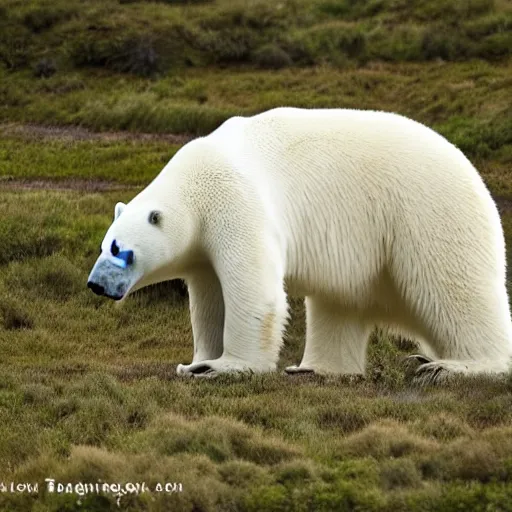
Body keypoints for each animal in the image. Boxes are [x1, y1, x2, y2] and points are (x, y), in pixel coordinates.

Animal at [87, 106, 512, 382]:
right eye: (104, 244)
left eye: (119, 250)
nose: (96, 284)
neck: (195, 183)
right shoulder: (203, 247)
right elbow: (209, 298)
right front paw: (195, 362)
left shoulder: (236, 203)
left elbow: (253, 293)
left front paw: (221, 367)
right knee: (338, 304)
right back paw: (314, 368)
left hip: (426, 213)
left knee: (454, 290)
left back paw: (454, 366)